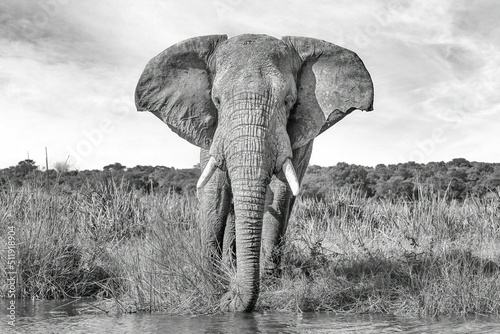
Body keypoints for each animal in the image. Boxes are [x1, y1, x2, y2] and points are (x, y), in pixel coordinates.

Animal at [135, 32, 374, 312]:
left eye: (289, 102)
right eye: (217, 100)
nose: (230, 298)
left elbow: (280, 193)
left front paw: (267, 283)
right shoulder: (212, 131)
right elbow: (215, 192)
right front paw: (211, 281)